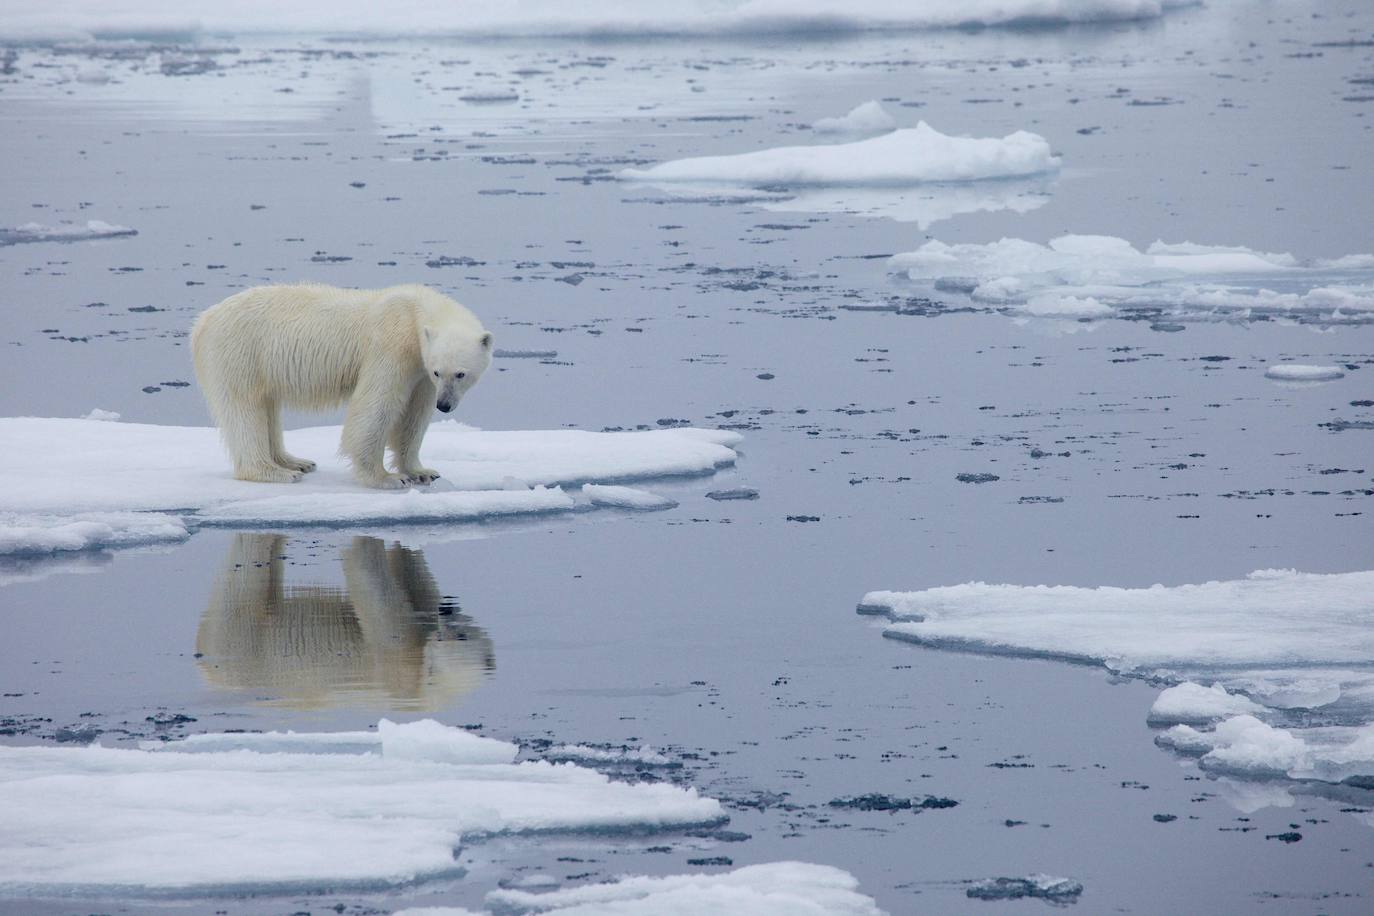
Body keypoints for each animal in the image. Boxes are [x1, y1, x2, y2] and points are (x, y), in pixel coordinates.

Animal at [190, 284, 494, 486]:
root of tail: (203, 320)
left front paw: (422, 471)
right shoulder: (392, 346)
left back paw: (296, 461)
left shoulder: (419, 370)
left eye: (460, 374)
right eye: (439, 372)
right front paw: (387, 478)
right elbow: (376, 405)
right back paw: (274, 471)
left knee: (268, 407)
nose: (445, 405)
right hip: (240, 352)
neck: (413, 313)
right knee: (244, 409)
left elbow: (415, 415)